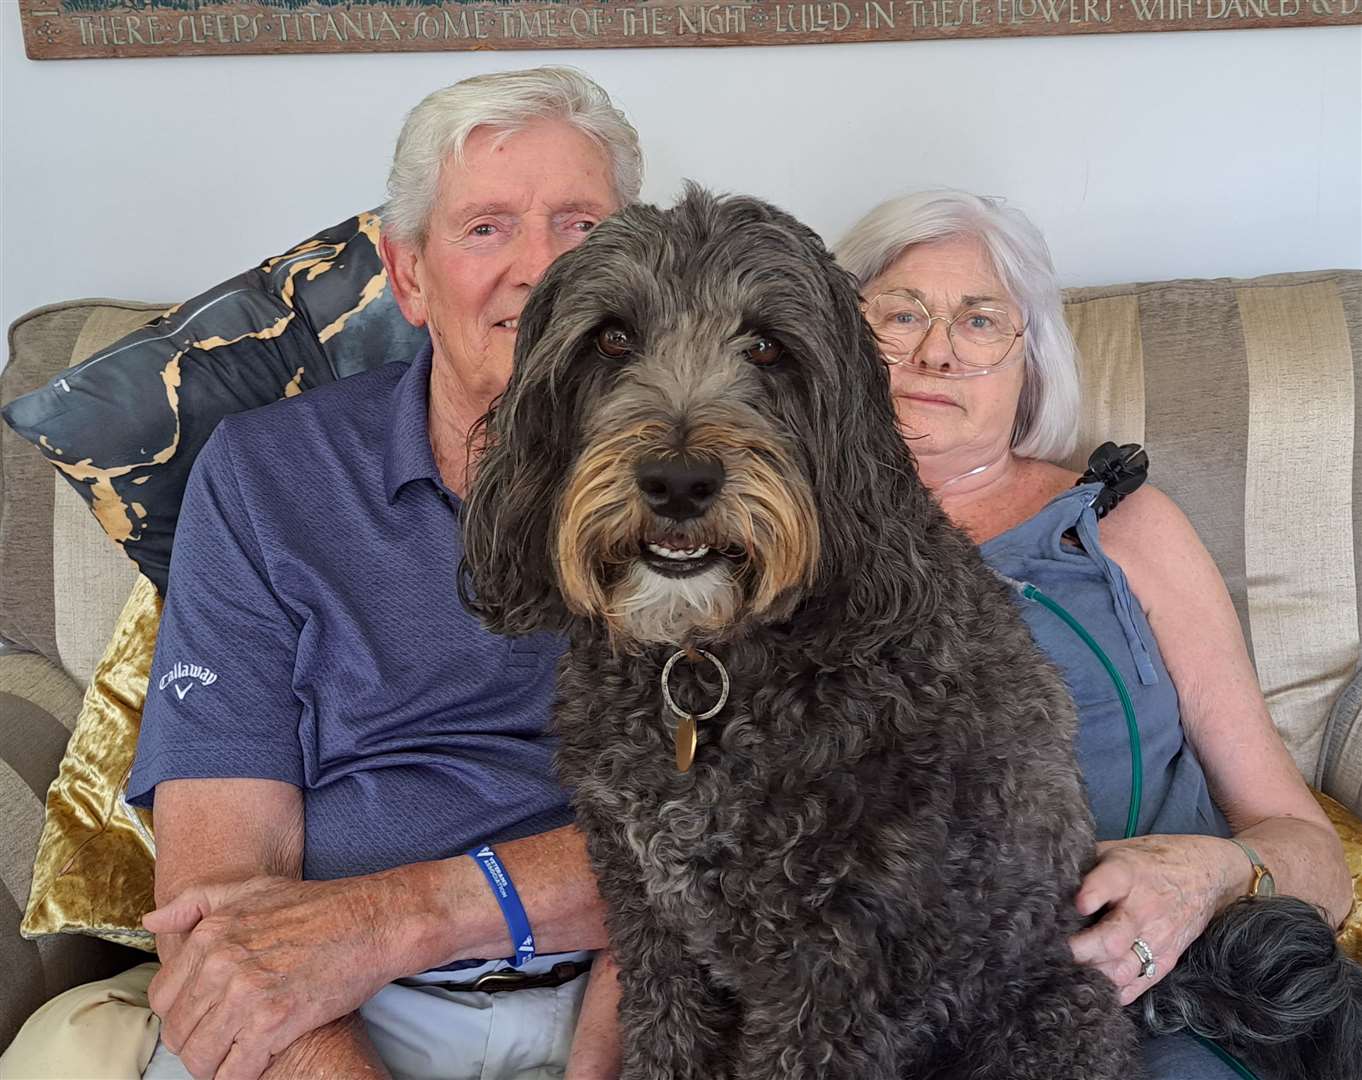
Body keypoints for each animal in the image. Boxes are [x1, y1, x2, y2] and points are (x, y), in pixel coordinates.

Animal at [460, 189, 1362, 1073]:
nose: (679, 480)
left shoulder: (834, 965)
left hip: (1042, 1020)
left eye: (768, 348)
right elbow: (663, 1034)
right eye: (612, 339)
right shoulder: (649, 918)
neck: (704, 658)